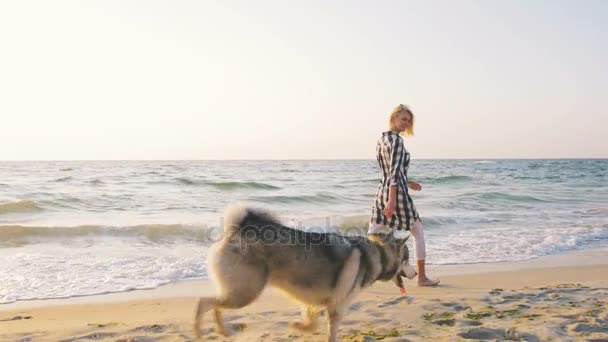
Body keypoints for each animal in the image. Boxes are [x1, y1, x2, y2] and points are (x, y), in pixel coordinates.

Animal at [192, 204, 416, 340]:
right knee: (205, 302)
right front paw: (301, 326)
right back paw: (199, 331)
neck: (376, 253)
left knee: (216, 306)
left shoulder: (314, 302)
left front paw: (299, 326)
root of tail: (237, 229)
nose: (414, 273)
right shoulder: (337, 308)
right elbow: (327, 330)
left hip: (237, 293)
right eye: (407, 259)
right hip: (244, 293)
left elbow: (312, 322)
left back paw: (223, 330)